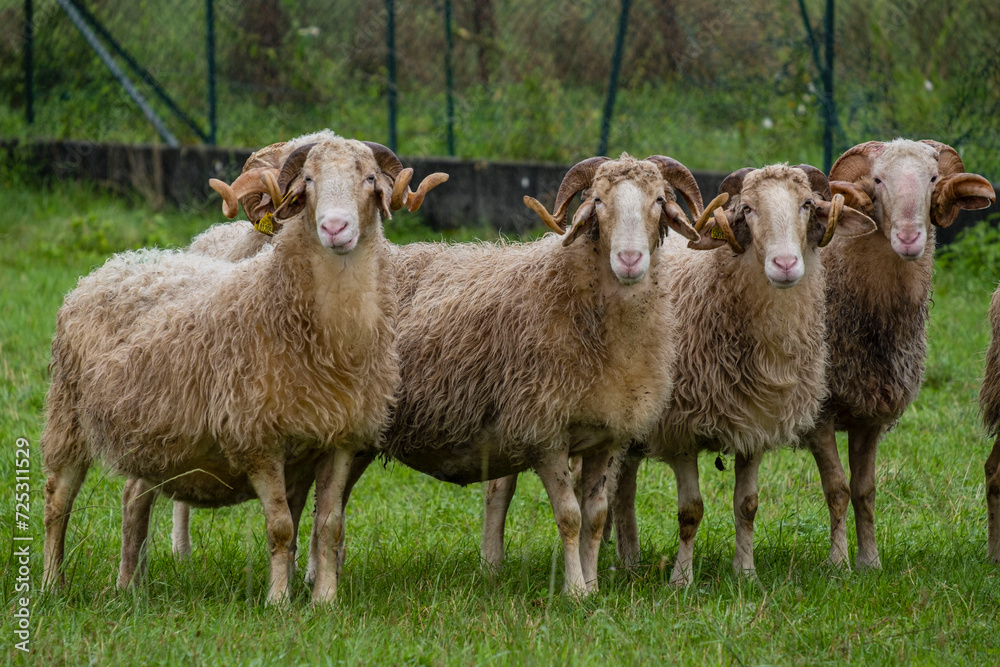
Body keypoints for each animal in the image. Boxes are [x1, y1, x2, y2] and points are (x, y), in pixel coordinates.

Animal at [41, 136, 407, 604]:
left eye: (370, 179)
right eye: (308, 180)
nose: (335, 228)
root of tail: (116, 263)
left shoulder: (343, 438)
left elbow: (329, 526)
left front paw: (325, 601)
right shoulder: (258, 440)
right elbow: (281, 527)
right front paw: (278, 601)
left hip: (153, 437)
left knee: (134, 497)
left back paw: (130, 586)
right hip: (67, 416)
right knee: (58, 501)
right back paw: (52, 584)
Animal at [384, 153, 710, 595]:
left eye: (660, 200)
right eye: (597, 201)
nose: (629, 259)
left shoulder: (607, 437)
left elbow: (596, 516)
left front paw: (592, 585)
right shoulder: (545, 433)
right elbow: (570, 517)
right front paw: (574, 592)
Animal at [483, 164, 876, 586]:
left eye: (806, 205)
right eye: (748, 209)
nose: (785, 265)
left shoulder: (754, 424)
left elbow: (748, 505)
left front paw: (746, 573)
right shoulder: (680, 431)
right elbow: (691, 510)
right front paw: (681, 580)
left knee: (621, 488)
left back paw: (627, 559)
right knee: (501, 485)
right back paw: (493, 563)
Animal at [803, 139, 995, 570]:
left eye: (934, 178)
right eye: (877, 181)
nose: (909, 237)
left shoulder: (870, 413)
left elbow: (865, 489)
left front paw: (870, 562)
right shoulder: (820, 413)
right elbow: (837, 489)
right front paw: (838, 563)